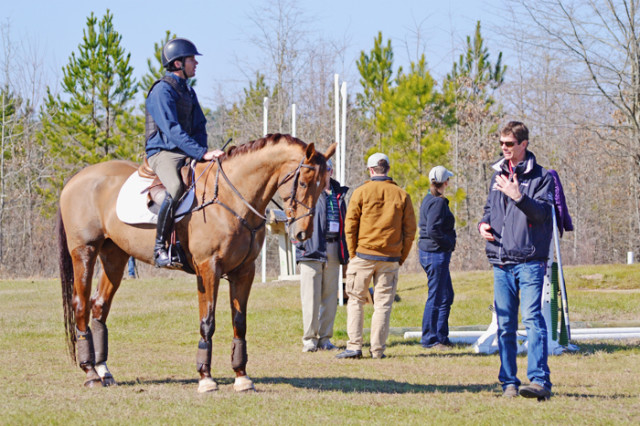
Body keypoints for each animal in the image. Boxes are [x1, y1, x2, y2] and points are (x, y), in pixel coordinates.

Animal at [57, 134, 336, 392]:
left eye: (323, 186)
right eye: (303, 182)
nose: (302, 234)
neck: (232, 197)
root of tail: (76, 179)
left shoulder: (244, 271)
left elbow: (239, 323)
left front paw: (241, 376)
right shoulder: (208, 268)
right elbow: (207, 322)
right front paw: (205, 377)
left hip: (114, 256)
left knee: (99, 306)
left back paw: (104, 371)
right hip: (85, 252)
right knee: (81, 305)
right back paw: (90, 373)